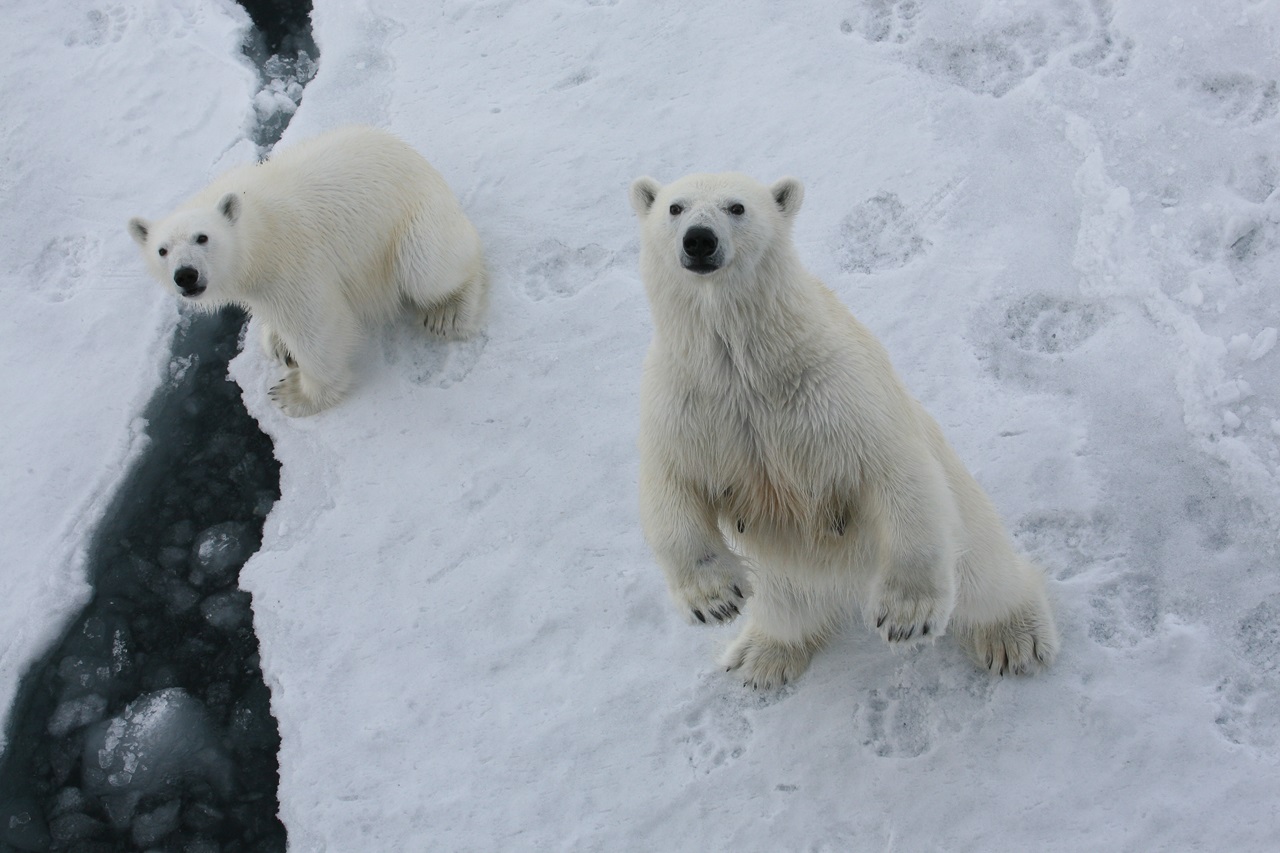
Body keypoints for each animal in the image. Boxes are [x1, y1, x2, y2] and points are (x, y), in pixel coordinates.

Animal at [129, 126, 486, 414]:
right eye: (162, 250)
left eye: (202, 237)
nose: (185, 275)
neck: (257, 228)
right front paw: (278, 341)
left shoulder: (291, 261)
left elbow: (316, 326)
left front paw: (295, 394)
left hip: (416, 223)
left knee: (428, 267)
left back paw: (448, 313)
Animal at [629, 171, 1059, 686]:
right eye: (675, 208)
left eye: (737, 207)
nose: (699, 240)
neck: (749, 365)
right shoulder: (689, 402)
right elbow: (670, 486)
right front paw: (713, 601)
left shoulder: (836, 392)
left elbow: (896, 472)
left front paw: (906, 617)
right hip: (786, 569)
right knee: (784, 601)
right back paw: (760, 656)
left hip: (965, 521)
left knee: (984, 573)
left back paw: (1014, 637)